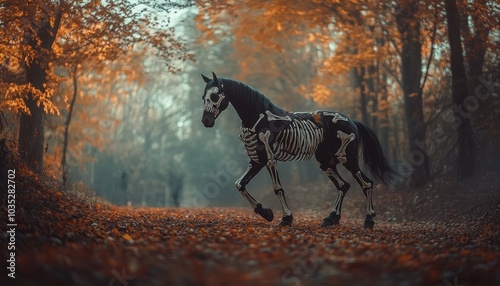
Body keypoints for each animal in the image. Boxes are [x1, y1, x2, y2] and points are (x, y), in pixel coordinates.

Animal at [199, 72, 394, 229]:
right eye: (203, 97)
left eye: (215, 95)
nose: (206, 121)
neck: (258, 118)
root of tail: (351, 120)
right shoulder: (256, 160)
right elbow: (240, 184)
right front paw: (265, 212)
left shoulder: (270, 159)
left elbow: (277, 188)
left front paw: (286, 218)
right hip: (326, 162)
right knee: (343, 185)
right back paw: (330, 219)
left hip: (347, 158)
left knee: (367, 183)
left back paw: (368, 221)